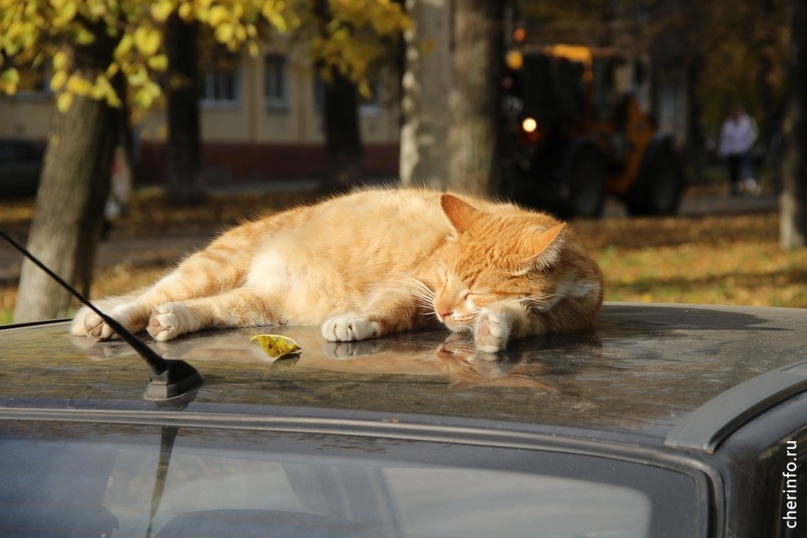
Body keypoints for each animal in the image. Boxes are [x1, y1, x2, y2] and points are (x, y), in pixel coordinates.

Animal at [72, 188, 604, 352]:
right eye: (445, 282)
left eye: (473, 292)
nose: (446, 311)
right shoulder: (415, 286)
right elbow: (390, 306)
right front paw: (355, 321)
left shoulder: (553, 321)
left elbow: (517, 318)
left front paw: (493, 328)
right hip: (216, 264)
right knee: (150, 295)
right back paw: (103, 319)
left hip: (259, 304)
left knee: (203, 309)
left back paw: (172, 321)